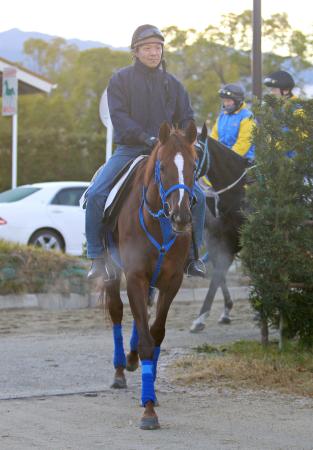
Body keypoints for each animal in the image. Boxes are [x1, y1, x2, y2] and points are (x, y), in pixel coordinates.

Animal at [105, 121, 197, 430]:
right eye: (163, 166)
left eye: (194, 166)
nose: (182, 216)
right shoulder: (134, 276)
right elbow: (146, 340)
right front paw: (147, 410)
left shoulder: (172, 281)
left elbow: (156, 332)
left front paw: (152, 388)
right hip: (111, 269)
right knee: (117, 311)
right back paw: (120, 370)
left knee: (141, 313)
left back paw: (132, 361)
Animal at [190, 125, 249, 332]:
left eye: (198, 150)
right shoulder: (218, 241)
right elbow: (218, 274)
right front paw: (224, 311)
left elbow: (218, 275)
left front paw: (200, 317)